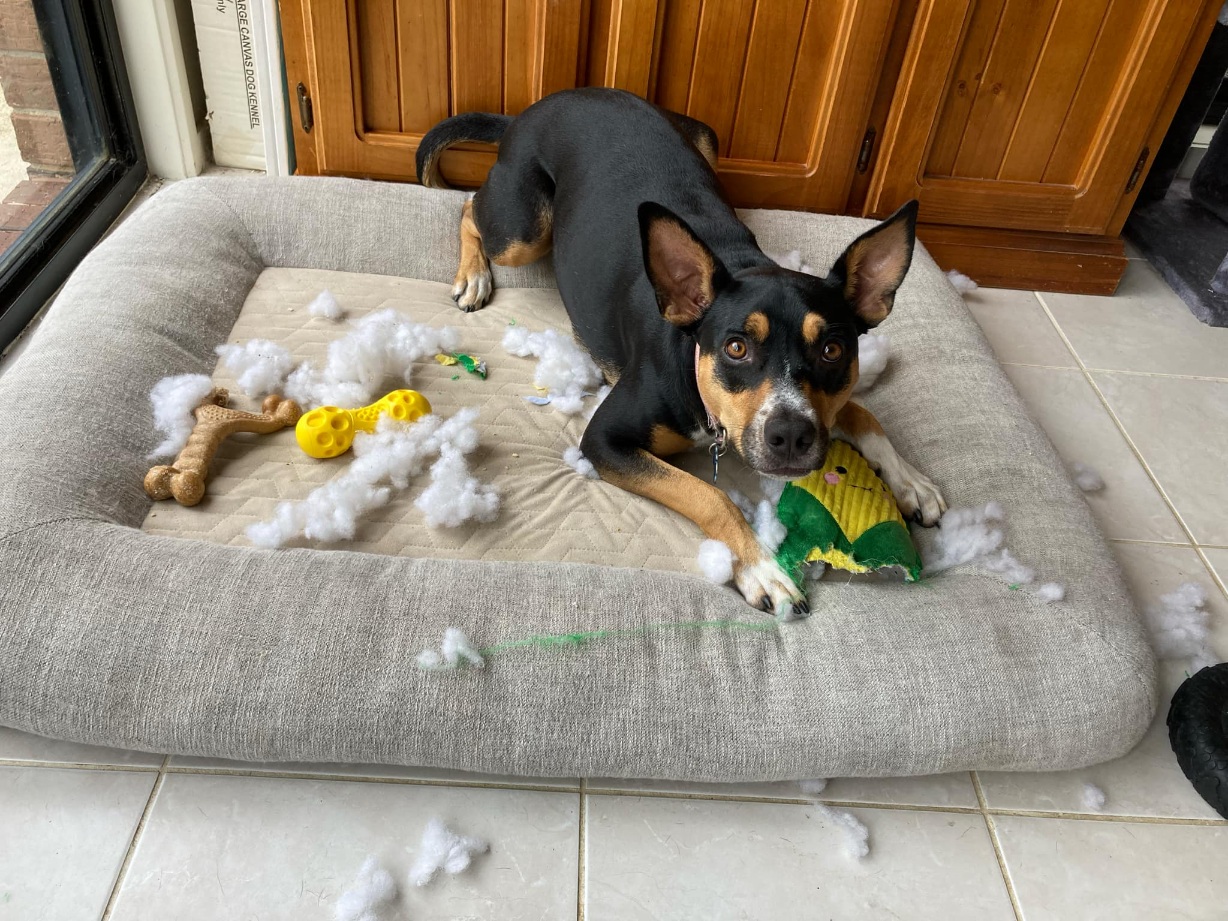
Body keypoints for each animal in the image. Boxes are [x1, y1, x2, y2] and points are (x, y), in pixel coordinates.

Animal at [417, 88, 945, 617]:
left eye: (833, 349)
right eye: (736, 347)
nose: (792, 436)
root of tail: (538, 106)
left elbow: (859, 411)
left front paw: (911, 482)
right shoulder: (605, 441)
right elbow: (709, 495)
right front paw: (762, 570)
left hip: (703, 139)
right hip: (523, 233)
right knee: (468, 207)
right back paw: (473, 275)